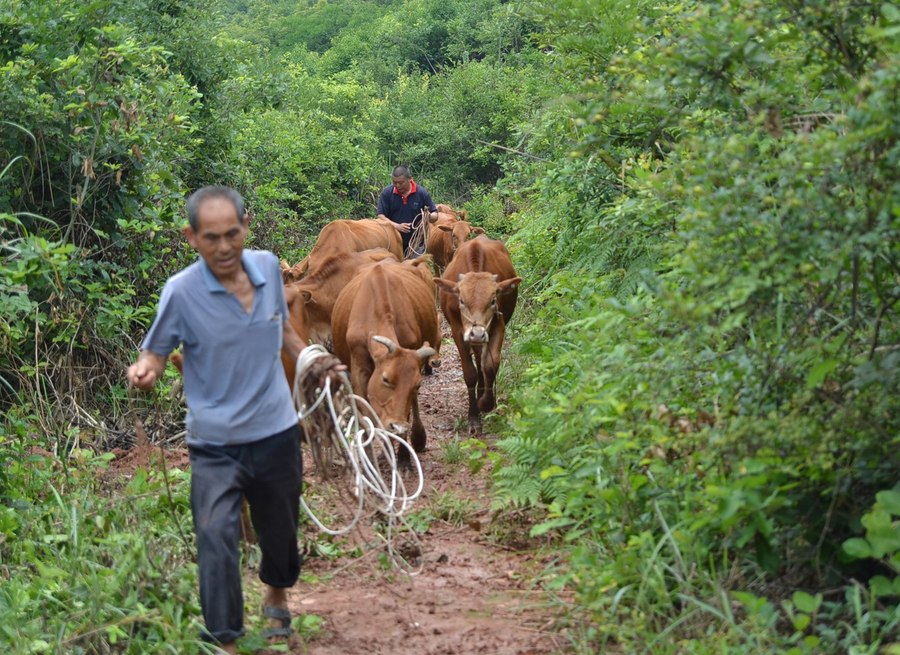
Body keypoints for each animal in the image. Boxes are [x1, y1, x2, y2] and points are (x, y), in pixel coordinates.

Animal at [332, 258, 442, 462]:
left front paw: (403, 456)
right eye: (385, 379)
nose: (397, 425)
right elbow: (367, 416)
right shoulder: (358, 367)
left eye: (418, 384)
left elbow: (406, 410)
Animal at [434, 238, 520, 434]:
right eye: (461, 300)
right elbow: (470, 373)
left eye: (493, 301)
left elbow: (490, 365)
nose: (477, 333)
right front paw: (473, 417)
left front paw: (487, 403)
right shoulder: (458, 331)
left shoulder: (498, 325)